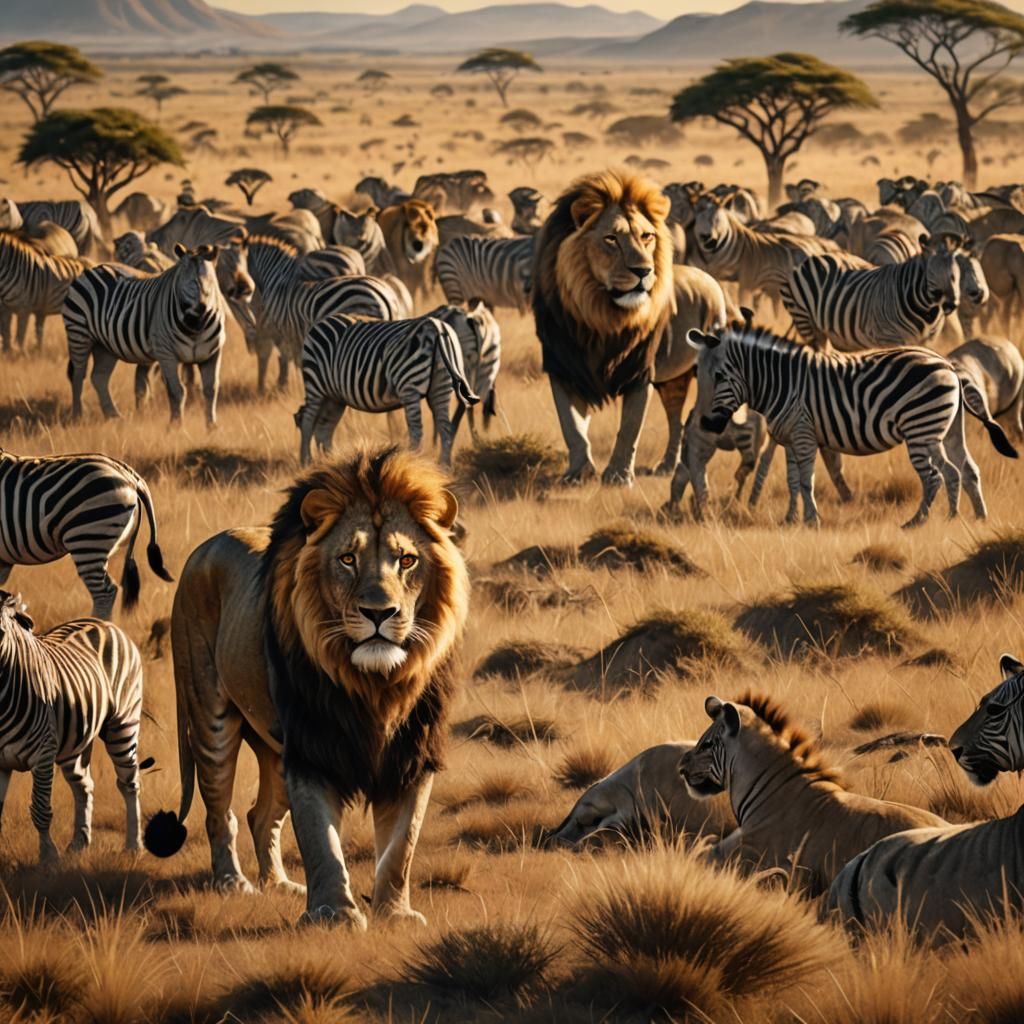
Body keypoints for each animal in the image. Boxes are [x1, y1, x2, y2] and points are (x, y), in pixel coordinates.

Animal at [144, 447, 469, 930]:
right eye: (348, 559)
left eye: (407, 560)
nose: (379, 612)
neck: (374, 685)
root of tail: (205, 546)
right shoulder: (312, 749)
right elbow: (321, 840)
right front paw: (335, 915)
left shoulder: (412, 753)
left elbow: (401, 845)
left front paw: (394, 914)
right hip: (210, 714)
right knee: (221, 813)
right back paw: (232, 883)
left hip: (276, 750)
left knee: (261, 817)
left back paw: (280, 885)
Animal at [532, 168, 677, 485]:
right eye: (611, 239)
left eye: (646, 236)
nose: (644, 271)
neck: (603, 319)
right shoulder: (564, 367)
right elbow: (572, 427)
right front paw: (579, 473)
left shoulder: (640, 370)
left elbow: (630, 428)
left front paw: (619, 476)